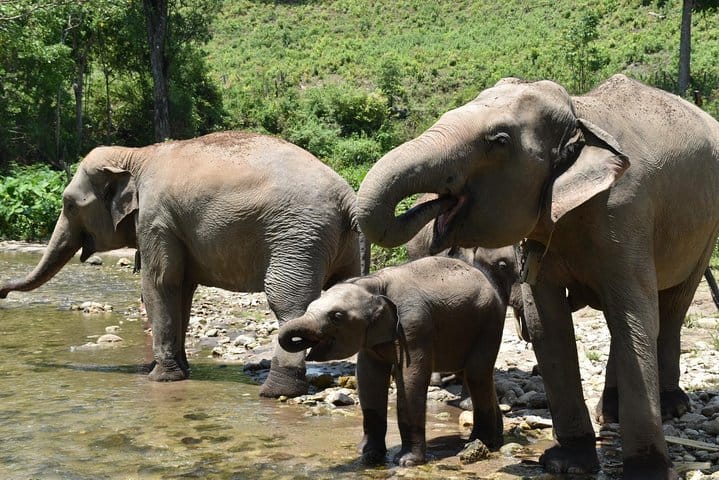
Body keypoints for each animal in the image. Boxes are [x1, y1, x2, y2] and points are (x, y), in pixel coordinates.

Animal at [0, 131, 368, 398]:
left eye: (69, 204)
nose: (2, 292)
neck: (135, 155)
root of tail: (348, 198)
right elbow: (183, 290)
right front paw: (180, 371)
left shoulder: (156, 218)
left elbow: (159, 284)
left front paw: (158, 378)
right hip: (339, 242)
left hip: (297, 236)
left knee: (286, 302)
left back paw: (276, 392)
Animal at [277, 256, 506, 466]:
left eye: (337, 316)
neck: (373, 283)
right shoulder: (372, 339)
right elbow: (369, 379)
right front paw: (368, 454)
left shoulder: (413, 326)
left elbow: (410, 379)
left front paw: (406, 462)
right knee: (475, 374)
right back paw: (496, 440)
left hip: (490, 322)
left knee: (476, 374)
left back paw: (479, 443)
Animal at [356, 74, 719, 479]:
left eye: (499, 142)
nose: (434, 203)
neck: (580, 116)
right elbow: (547, 323)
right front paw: (568, 464)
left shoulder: (626, 213)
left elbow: (634, 316)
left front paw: (647, 473)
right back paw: (610, 413)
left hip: (707, 229)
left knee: (672, 305)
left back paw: (670, 407)